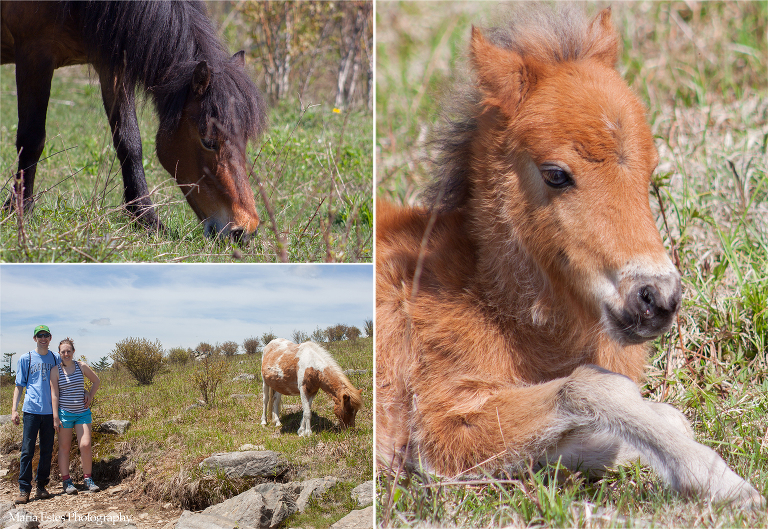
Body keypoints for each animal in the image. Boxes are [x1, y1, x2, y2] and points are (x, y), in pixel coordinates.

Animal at [1, 1, 268, 240]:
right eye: (208, 141)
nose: (245, 230)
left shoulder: (113, 65)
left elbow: (129, 142)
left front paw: (146, 218)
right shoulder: (35, 54)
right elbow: (32, 139)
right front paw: (19, 208)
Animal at [376, 5, 760, 508]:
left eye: (651, 170)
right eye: (556, 174)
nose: (656, 298)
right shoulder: (442, 423)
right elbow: (592, 388)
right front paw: (720, 480)